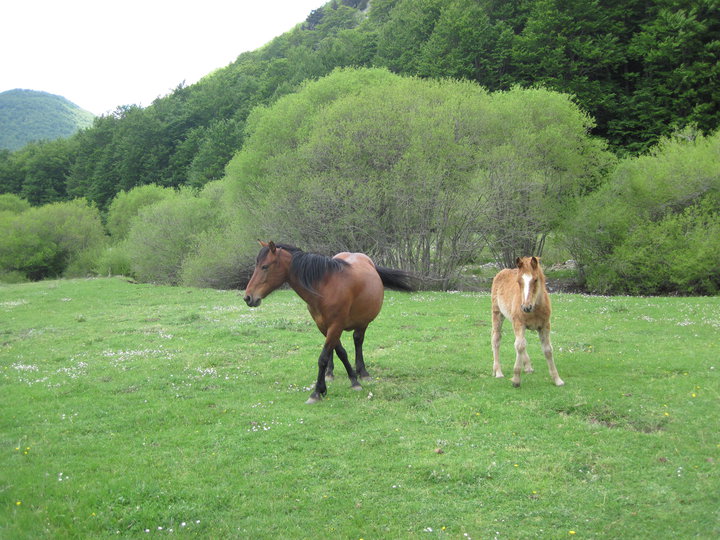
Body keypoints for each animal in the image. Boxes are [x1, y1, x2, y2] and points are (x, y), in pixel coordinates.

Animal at [243, 243, 414, 402]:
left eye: (265, 266)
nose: (248, 297)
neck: (325, 287)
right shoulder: (324, 326)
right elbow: (339, 352)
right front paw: (348, 379)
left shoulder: (336, 326)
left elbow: (323, 357)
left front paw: (318, 392)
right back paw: (330, 373)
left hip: (362, 322)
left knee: (358, 341)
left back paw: (362, 372)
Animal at [492, 258, 564, 388]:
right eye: (518, 281)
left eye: (535, 280)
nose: (526, 307)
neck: (535, 308)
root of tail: (502, 272)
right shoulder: (519, 323)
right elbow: (520, 346)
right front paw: (516, 380)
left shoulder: (545, 325)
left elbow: (547, 350)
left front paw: (557, 380)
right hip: (497, 313)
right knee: (497, 339)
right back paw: (498, 372)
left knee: (520, 342)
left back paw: (528, 367)